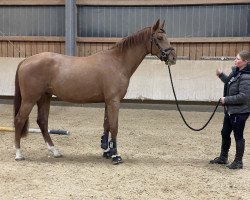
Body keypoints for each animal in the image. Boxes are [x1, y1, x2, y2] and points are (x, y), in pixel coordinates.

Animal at [13, 19, 176, 165]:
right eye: (159, 38)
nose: (173, 58)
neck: (117, 62)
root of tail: (25, 61)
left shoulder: (108, 101)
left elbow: (107, 125)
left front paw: (107, 151)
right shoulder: (114, 101)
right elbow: (114, 127)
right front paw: (116, 156)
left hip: (44, 97)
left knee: (42, 121)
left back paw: (54, 151)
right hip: (30, 99)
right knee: (19, 120)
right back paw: (19, 154)